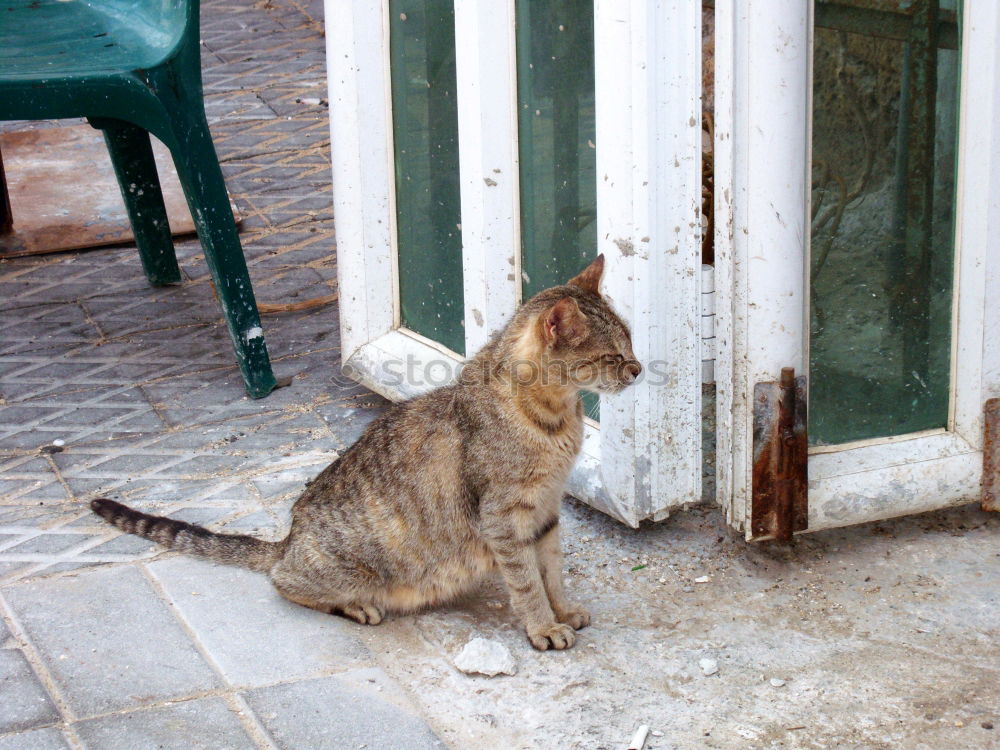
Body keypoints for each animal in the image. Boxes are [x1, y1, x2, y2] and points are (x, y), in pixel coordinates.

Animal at [94, 256, 640, 648]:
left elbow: (552, 572)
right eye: (611, 355)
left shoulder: (546, 512)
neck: (556, 419)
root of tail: (289, 539)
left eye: (631, 341)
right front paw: (543, 626)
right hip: (334, 571)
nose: (637, 369)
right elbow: (527, 583)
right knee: (282, 582)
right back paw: (355, 605)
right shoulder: (505, 519)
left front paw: (562, 610)